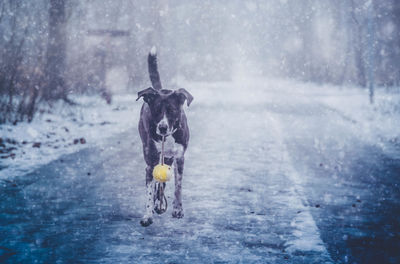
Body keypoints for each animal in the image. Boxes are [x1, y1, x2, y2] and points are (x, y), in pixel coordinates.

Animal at [136, 46, 194, 226]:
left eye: (172, 110)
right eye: (156, 111)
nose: (162, 127)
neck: (166, 138)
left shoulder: (180, 157)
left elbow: (178, 186)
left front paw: (177, 210)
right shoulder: (150, 162)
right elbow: (149, 190)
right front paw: (147, 215)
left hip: (168, 159)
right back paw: (158, 204)